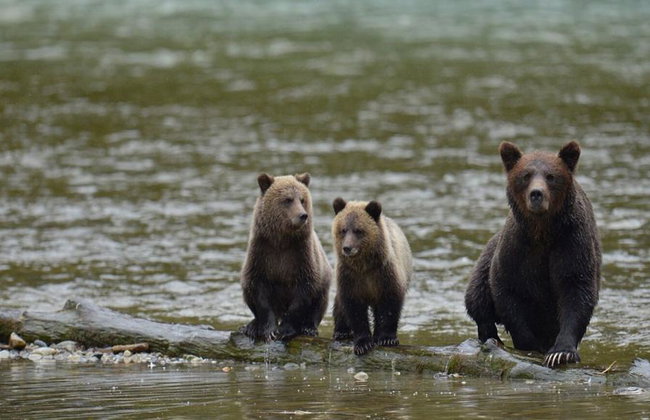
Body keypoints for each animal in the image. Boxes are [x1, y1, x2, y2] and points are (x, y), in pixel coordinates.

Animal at [240, 172, 332, 342]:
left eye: (302, 199)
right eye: (288, 199)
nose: (303, 215)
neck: (282, 240)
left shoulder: (301, 256)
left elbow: (304, 292)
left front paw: (284, 330)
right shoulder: (261, 254)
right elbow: (259, 291)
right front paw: (269, 330)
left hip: (324, 276)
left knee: (319, 302)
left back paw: (309, 327)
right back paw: (251, 326)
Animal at [331, 198, 413, 355]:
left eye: (358, 230)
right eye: (343, 230)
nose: (347, 248)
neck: (364, 266)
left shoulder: (384, 274)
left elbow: (390, 304)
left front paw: (387, 338)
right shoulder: (349, 277)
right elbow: (354, 308)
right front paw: (363, 344)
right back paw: (341, 331)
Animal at [465, 141, 601, 368]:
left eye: (551, 176)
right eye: (525, 175)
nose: (536, 194)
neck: (542, 231)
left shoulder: (571, 242)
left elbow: (576, 290)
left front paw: (561, 352)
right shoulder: (516, 248)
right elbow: (507, 291)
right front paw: (529, 345)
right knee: (477, 297)